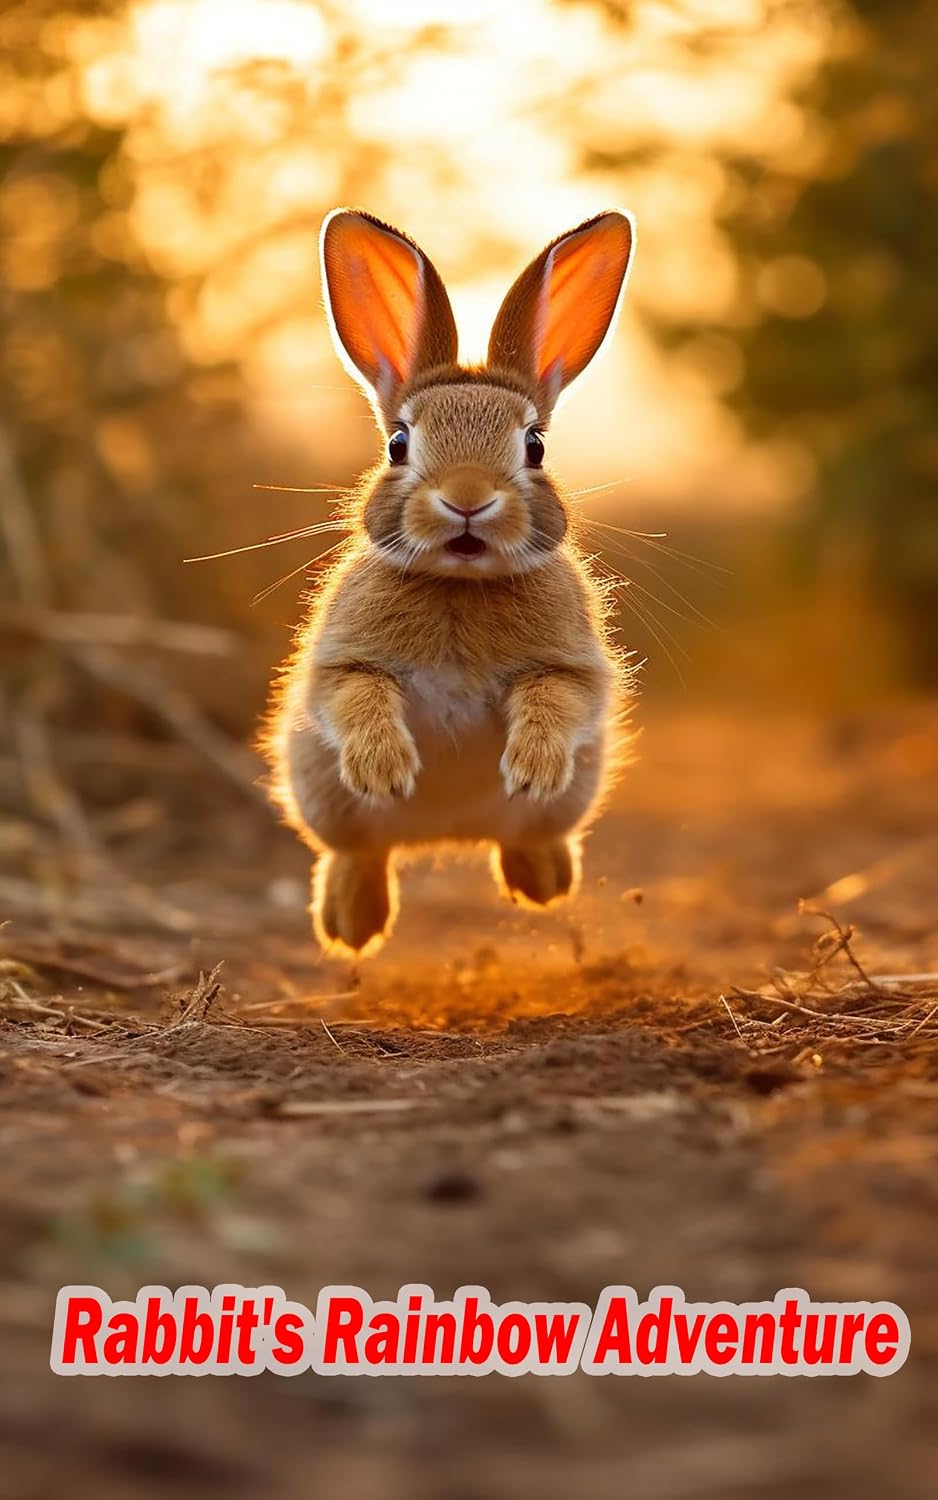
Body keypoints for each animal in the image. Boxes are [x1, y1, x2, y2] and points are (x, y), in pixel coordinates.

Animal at [263, 207, 637, 955]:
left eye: (535, 447)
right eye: (398, 444)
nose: (467, 499)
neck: (460, 585)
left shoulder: (574, 667)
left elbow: (557, 696)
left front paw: (533, 768)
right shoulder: (340, 665)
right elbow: (356, 694)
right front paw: (385, 770)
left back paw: (544, 881)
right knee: (359, 850)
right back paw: (352, 924)